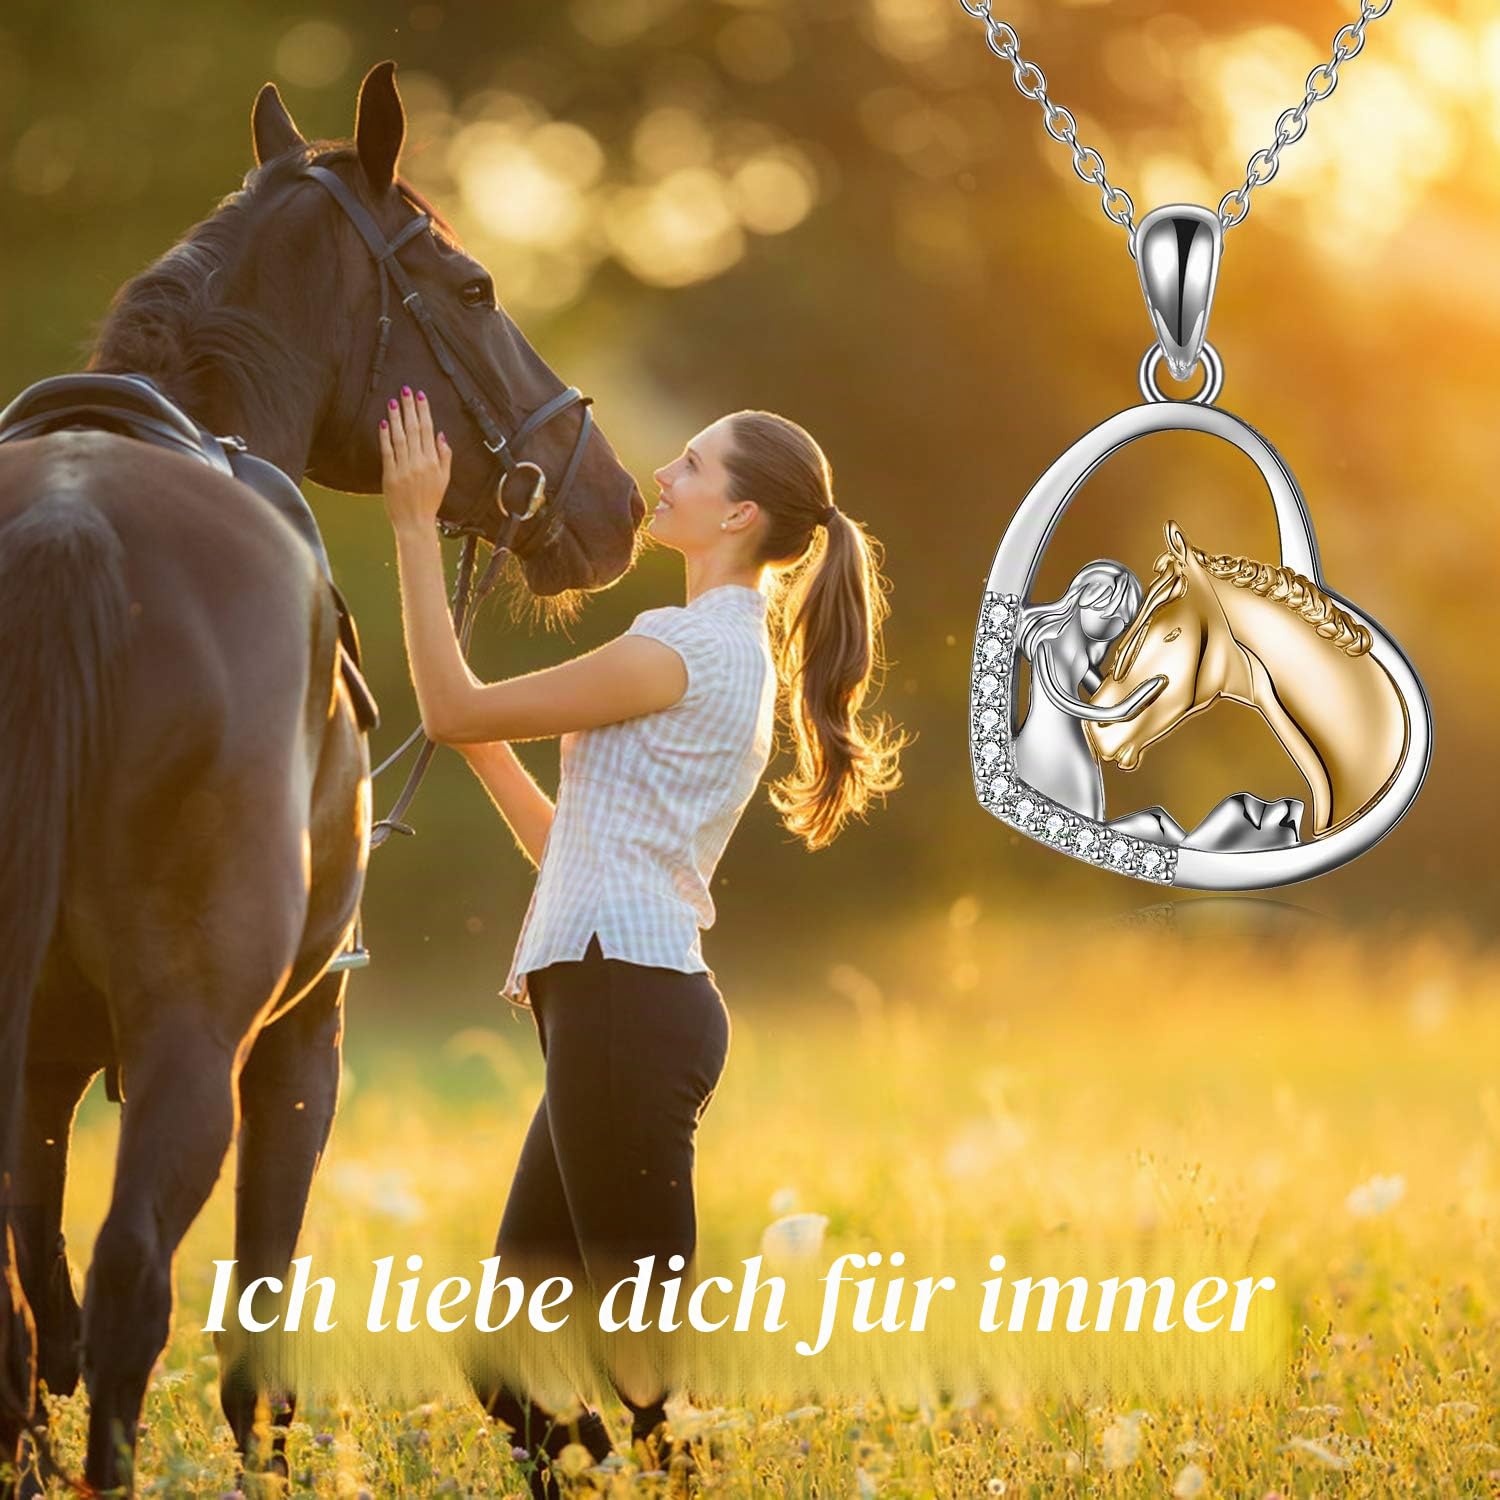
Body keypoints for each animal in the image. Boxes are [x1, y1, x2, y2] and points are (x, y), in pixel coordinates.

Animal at [0, 62, 643, 1496]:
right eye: (474, 287)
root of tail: (68, 525)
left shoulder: (43, 1069)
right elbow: (253, 1327)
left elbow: (31, 1312)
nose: (616, 503)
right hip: (198, 1041)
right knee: (135, 1283)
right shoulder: (302, 1043)